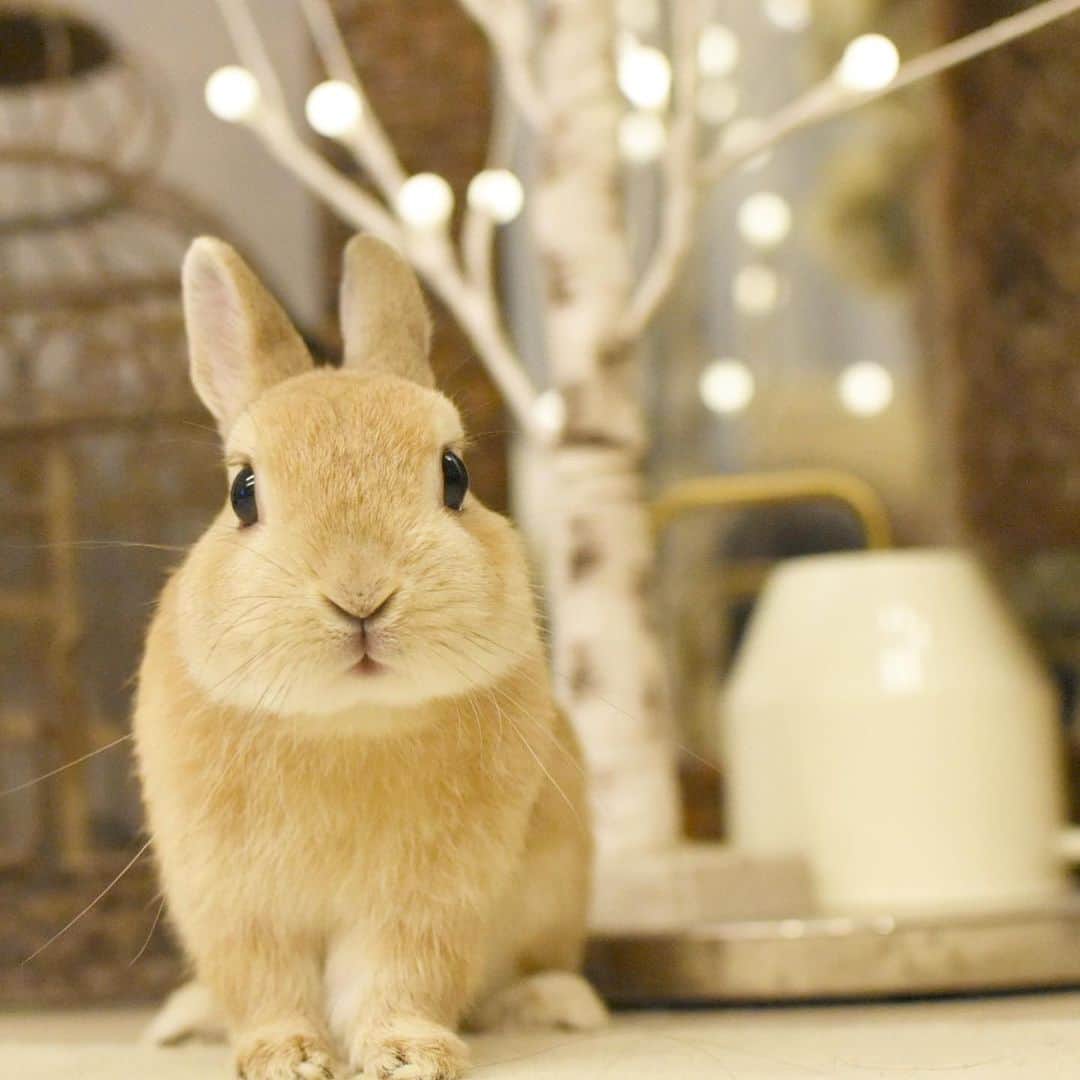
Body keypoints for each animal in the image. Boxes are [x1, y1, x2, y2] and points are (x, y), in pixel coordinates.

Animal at [133, 234, 607, 1080]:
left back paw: (555, 1004)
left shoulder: (425, 903)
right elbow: (266, 985)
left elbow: (399, 977)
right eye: (242, 492)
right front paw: (286, 1058)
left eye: (455, 475)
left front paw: (408, 1055)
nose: (361, 595)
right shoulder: (236, 905)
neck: (347, 722)